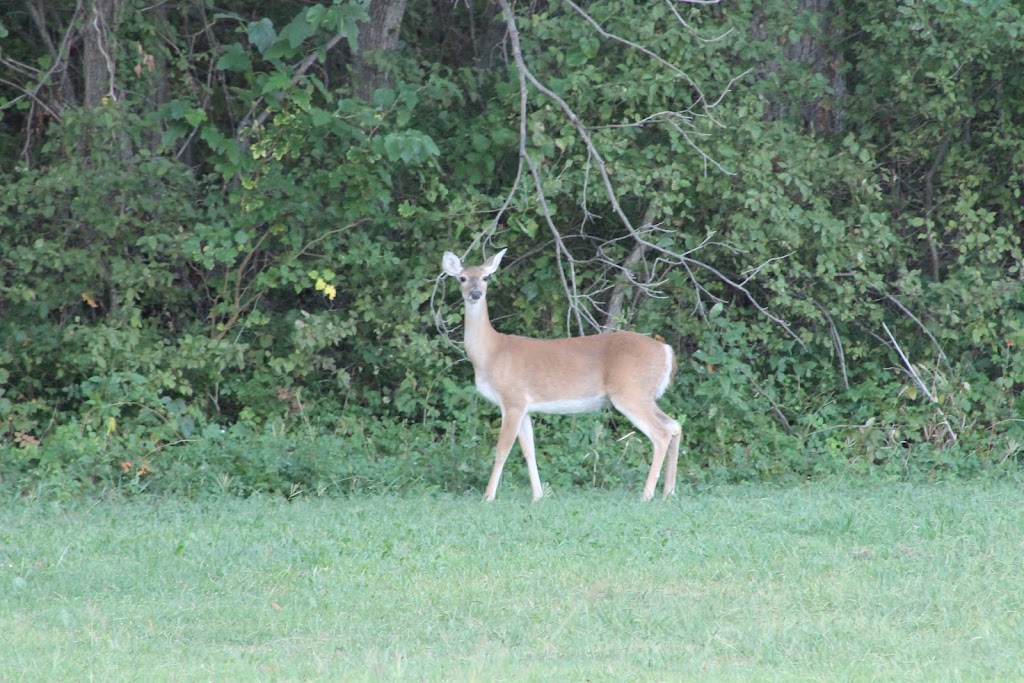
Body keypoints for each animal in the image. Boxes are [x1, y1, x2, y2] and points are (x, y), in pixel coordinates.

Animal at [440, 249, 679, 501]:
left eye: (486, 277)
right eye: (462, 278)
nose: (475, 293)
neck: (491, 353)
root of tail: (666, 350)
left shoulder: (513, 399)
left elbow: (502, 449)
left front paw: (488, 497)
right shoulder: (525, 407)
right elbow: (529, 450)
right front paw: (538, 496)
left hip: (629, 391)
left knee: (661, 433)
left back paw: (647, 495)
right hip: (645, 394)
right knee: (675, 426)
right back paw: (668, 492)